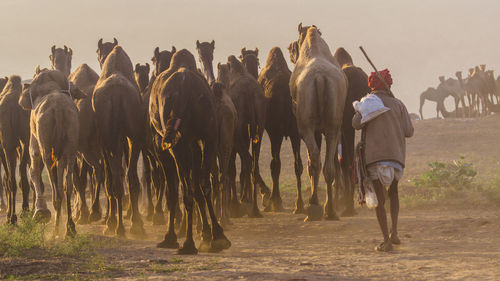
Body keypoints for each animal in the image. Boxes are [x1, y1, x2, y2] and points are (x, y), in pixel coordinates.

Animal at [92, 39, 145, 236]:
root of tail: (116, 95)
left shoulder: (105, 141)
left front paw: (110, 220)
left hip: (111, 138)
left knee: (115, 179)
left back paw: (118, 226)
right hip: (132, 137)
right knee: (128, 177)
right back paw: (134, 225)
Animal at [258, 46, 304, 212]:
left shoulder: (273, 130)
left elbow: (274, 164)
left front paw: (274, 201)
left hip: (277, 131)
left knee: (275, 163)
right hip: (294, 131)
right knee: (298, 164)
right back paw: (299, 205)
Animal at [290, 24, 348, 221]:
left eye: (294, 45)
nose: (291, 52)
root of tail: (320, 78)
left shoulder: (309, 128)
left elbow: (309, 161)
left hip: (306, 126)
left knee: (314, 159)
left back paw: (313, 205)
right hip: (333, 124)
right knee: (329, 165)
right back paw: (329, 210)